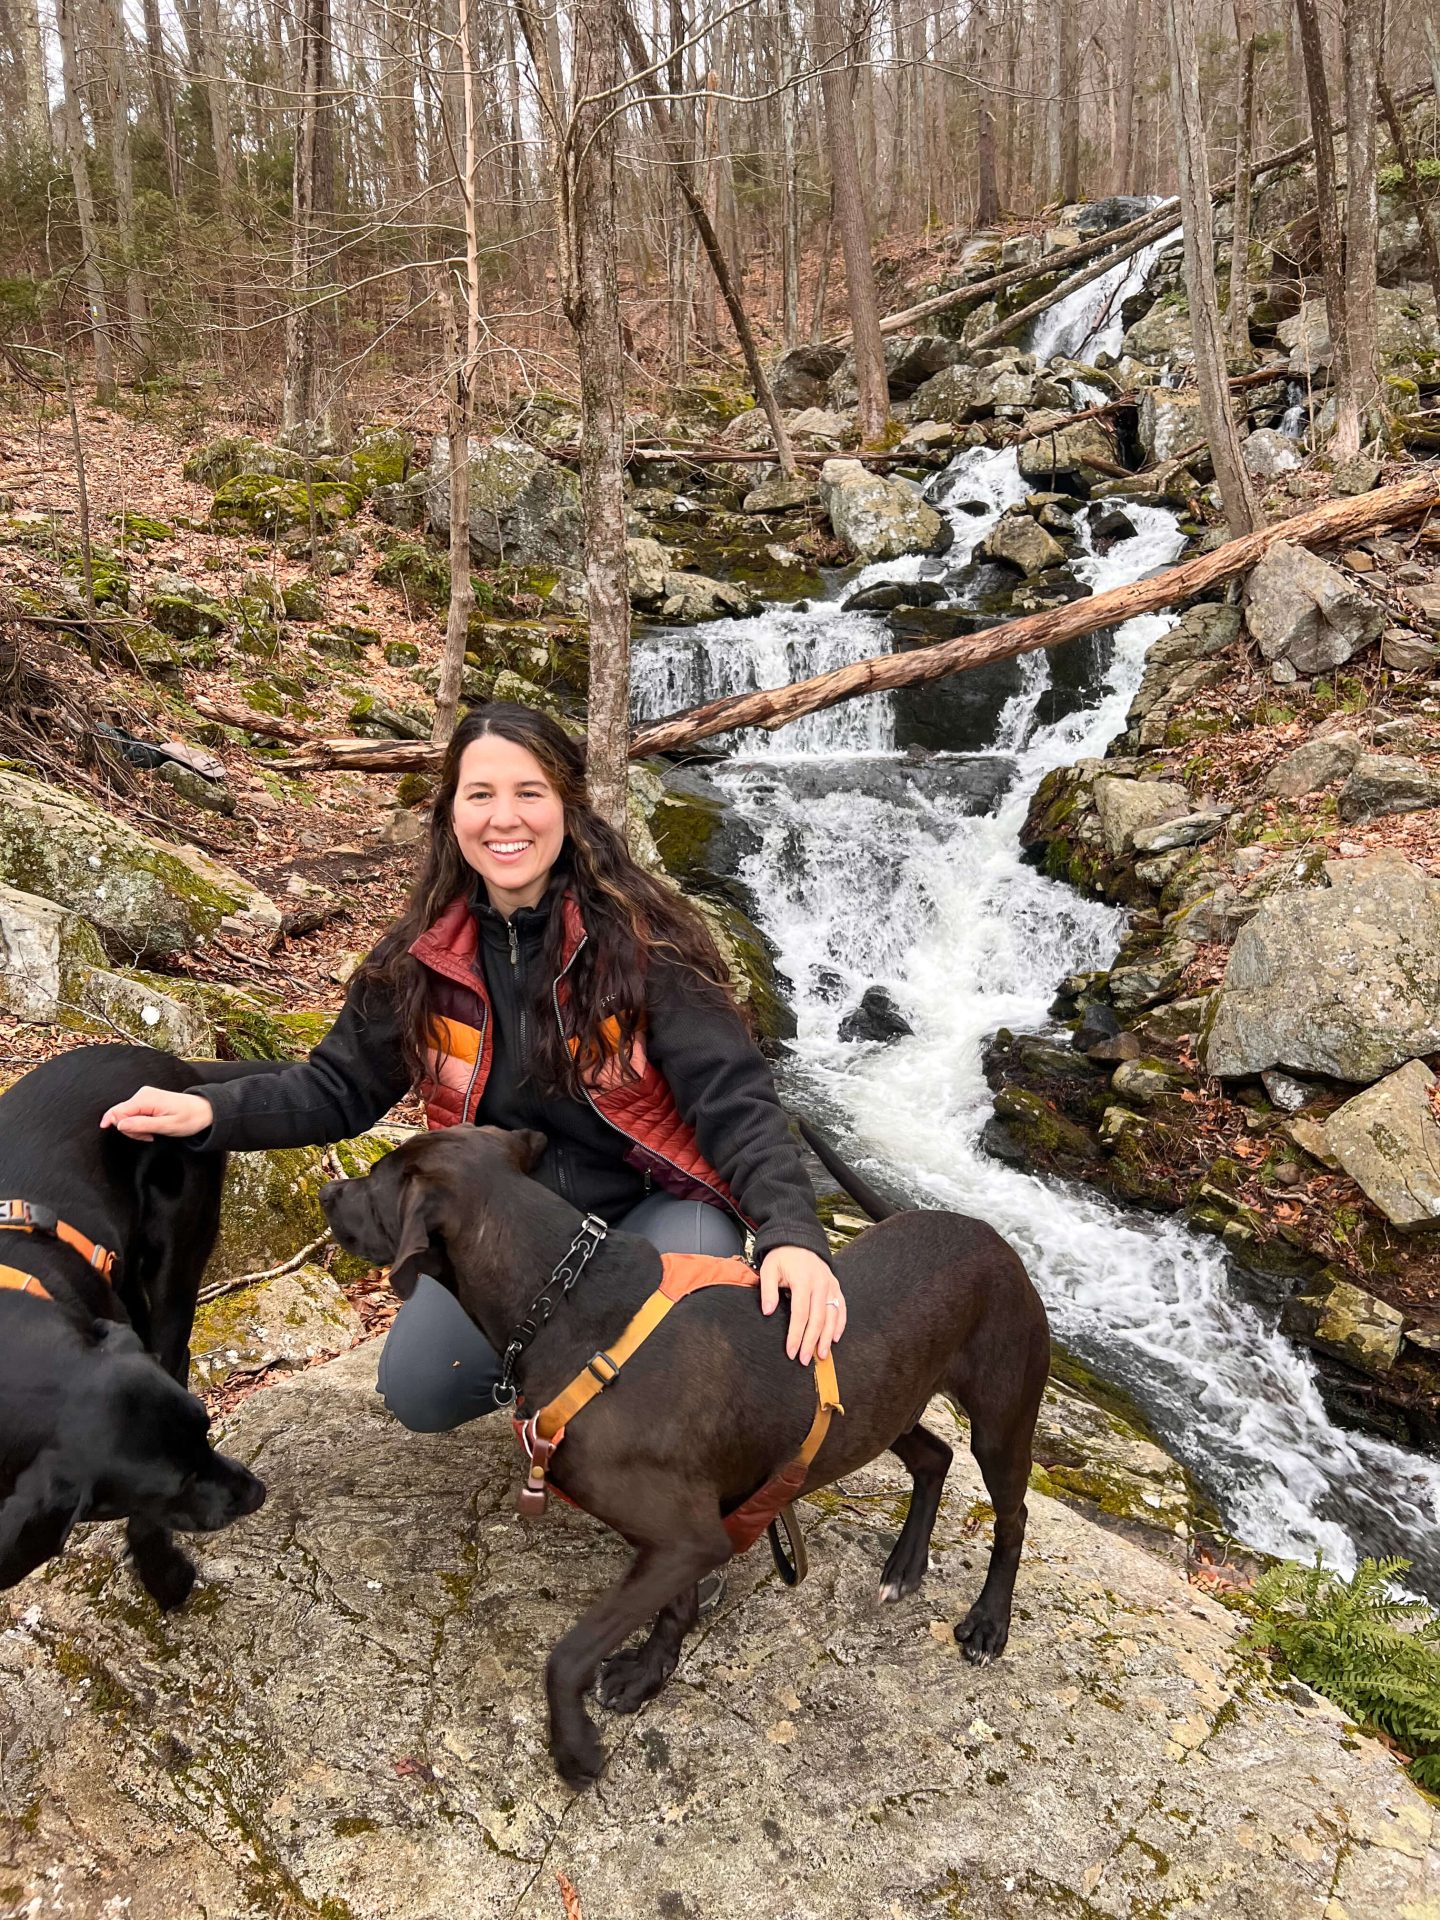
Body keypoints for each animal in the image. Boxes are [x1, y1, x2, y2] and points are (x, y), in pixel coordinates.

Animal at [0, 1052, 264, 1605]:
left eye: (207, 1431)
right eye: (177, 1483)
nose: (257, 1493)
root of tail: (178, 1067)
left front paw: (161, 1573)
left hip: (172, 1263)